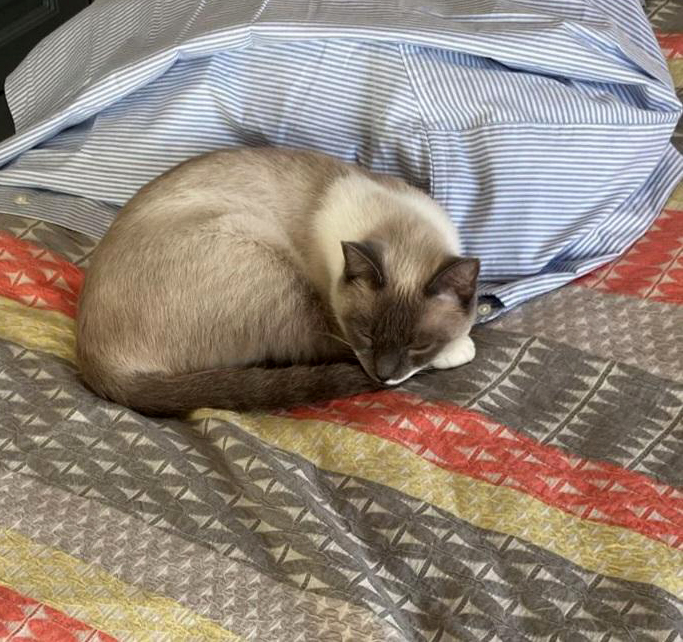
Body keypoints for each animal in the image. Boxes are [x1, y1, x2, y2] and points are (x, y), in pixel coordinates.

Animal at [76, 147, 480, 416]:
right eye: (366, 335)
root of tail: (95, 361)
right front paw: (459, 348)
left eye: (418, 344)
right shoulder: (338, 325)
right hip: (263, 255)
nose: (384, 378)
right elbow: (346, 348)